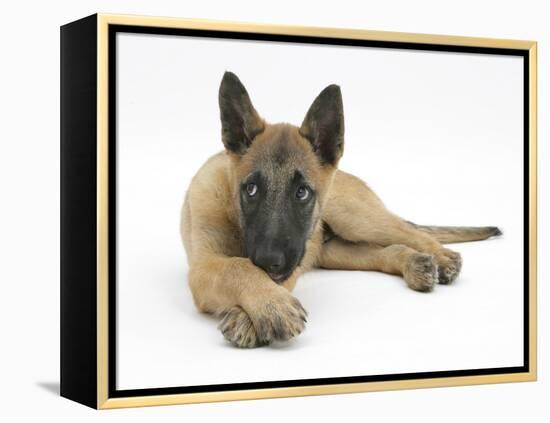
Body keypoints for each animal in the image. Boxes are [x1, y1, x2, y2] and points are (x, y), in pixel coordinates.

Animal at [181, 73, 504, 350]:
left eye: (302, 192)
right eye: (251, 190)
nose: (269, 260)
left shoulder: (290, 261)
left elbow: (243, 267)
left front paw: (258, 312)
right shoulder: (204, 266)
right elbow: (238, 267)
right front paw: (267, 305)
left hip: (354, 217)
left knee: (410, 232)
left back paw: (443, 257)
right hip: (334, 251)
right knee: (386, 251)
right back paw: (414, 264)